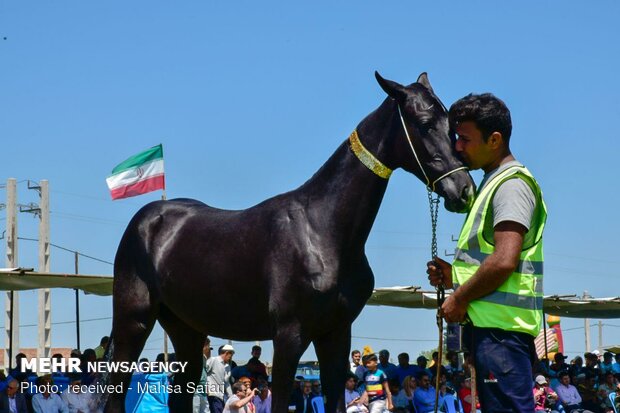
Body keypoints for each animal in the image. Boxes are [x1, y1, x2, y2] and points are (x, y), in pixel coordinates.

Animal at [103, 73, 474, 412]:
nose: (464, 190)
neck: (323, 230)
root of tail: (146, 218)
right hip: (133, 321)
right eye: (424, 124)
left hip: (186, 330)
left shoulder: (336, 333)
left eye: (451, 125)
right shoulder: (288, 336)